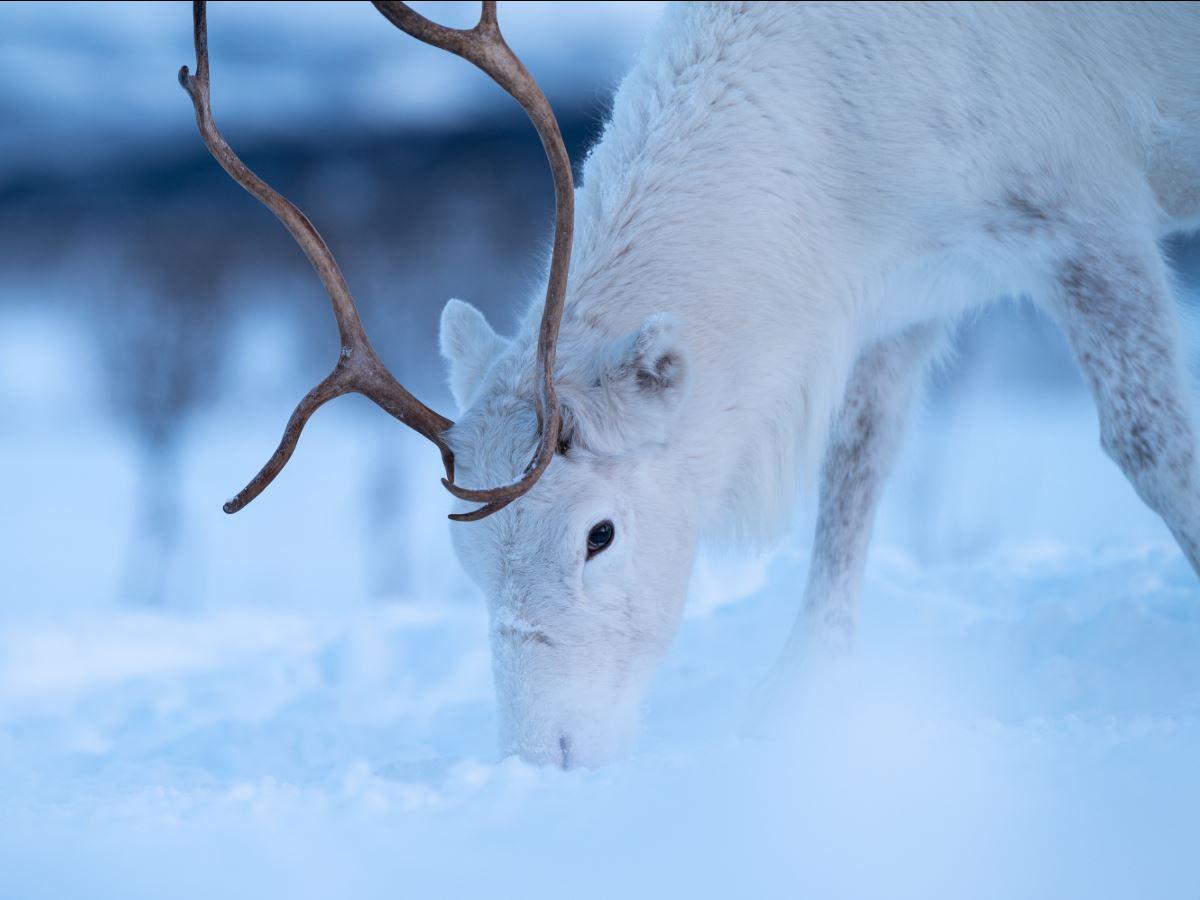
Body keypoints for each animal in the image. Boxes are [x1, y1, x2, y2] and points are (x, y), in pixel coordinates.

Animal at [181, 1, 1200, 769]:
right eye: (465, 556)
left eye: (599, 534)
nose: (544, 756)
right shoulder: (901, 297)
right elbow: (854, 476)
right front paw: (797, 706)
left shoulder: (1085, 214)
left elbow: (1152, 446)